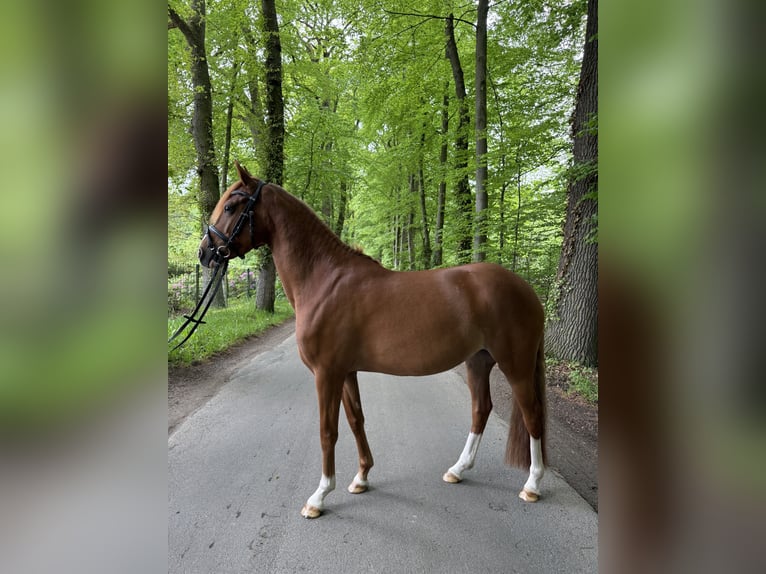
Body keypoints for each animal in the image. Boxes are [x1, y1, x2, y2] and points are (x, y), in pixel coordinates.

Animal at [198, 162, 547, 519]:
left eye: (231, 206)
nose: (205, 253)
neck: (324, 281)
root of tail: (527, 290)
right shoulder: (345, 371)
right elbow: (356, 421)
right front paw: (361, 477)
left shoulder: (326, 374)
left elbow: (328, 431)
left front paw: (319, 496)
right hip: (478, 361)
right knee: (481, 409)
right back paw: (457, 470)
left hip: (515, 365)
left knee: (532, 414)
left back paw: (532, 485)